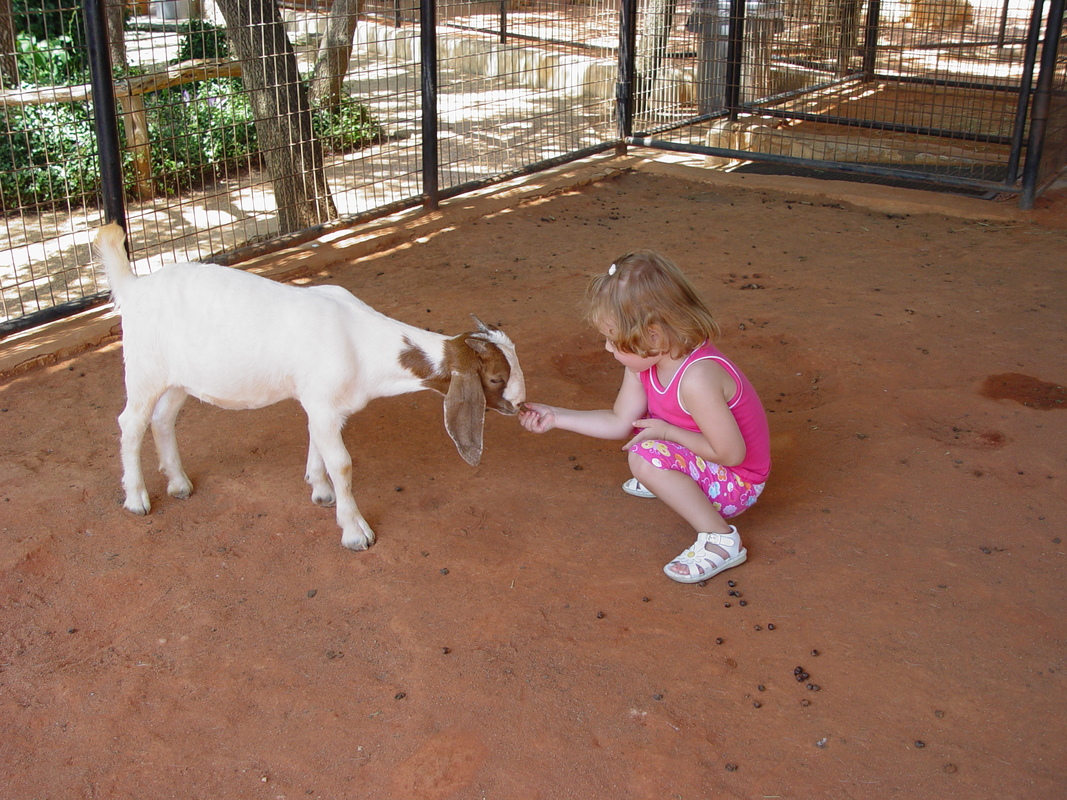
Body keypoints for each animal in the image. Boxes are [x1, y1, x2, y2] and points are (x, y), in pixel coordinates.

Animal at [94, 226, 524, 550]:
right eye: (496, 378)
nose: (521, 404)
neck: (360, 341)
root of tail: (133, 287)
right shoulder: (322, 401)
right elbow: (343, 464)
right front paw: (355, 531)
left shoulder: (324, 406)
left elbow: (317, 443)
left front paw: (319, 490)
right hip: (144, 369)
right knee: (131, 423)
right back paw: (136, 498)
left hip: (179, 377)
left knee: (163, 419)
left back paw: (179, 483)